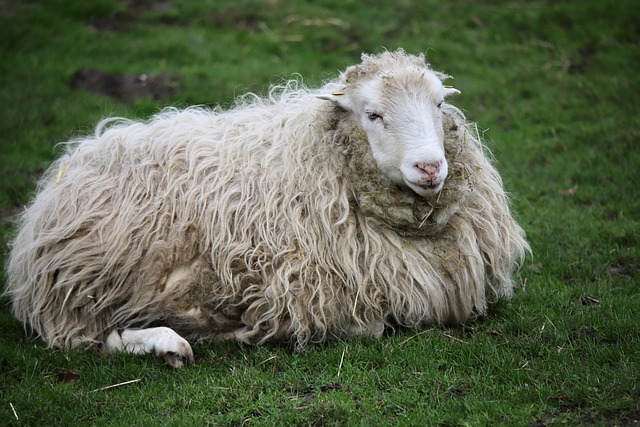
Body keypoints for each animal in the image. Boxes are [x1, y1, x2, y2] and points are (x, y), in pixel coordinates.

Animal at [5, 50, 530, 367]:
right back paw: (175, 342)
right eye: (373, 114)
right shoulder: (308, 287)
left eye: (439, 104)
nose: (429, 167)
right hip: (87, 282)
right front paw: (259, 331)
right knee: (93, 338)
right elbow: (368, 327)